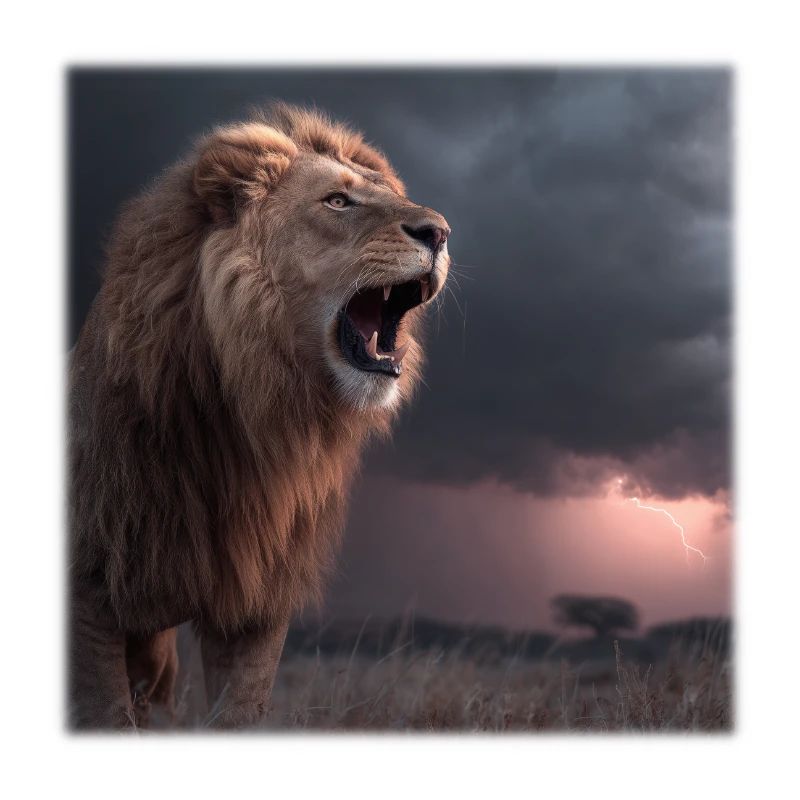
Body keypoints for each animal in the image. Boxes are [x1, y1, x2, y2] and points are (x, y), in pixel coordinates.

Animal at [68, 103, 450, 729]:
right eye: (338, 201)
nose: (440, 232)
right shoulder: (90, 595)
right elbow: (105, 713)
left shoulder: (257, 599)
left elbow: (240, 712)